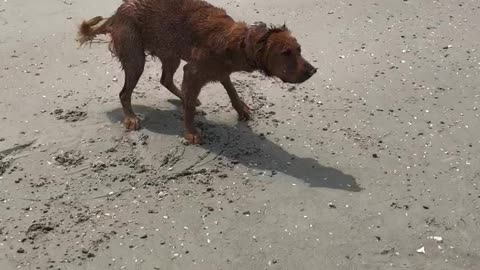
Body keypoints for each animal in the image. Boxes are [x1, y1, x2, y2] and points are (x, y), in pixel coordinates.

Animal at [77, 0, 316, 144]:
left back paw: (182, 97)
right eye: (286, 53)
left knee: (166, 79)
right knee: (125, 93)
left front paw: (242, 109)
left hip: (170, 53)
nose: (313, 71)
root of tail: (118, 12)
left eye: (299, 50)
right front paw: (191, 132)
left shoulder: (219, 71)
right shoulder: (193, 70)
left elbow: (232, 92)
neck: (236, 43)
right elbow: (191, 110)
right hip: (136, 59)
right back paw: (131, 118)